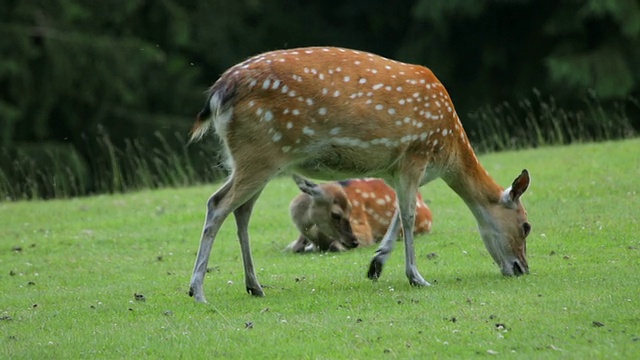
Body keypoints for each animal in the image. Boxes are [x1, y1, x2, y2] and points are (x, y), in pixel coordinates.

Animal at [288, 176, 432, 252]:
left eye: (351, 210)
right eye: (335, 214)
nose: (354, 242)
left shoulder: (363, 231)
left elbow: (335, 246)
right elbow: (293, 247)